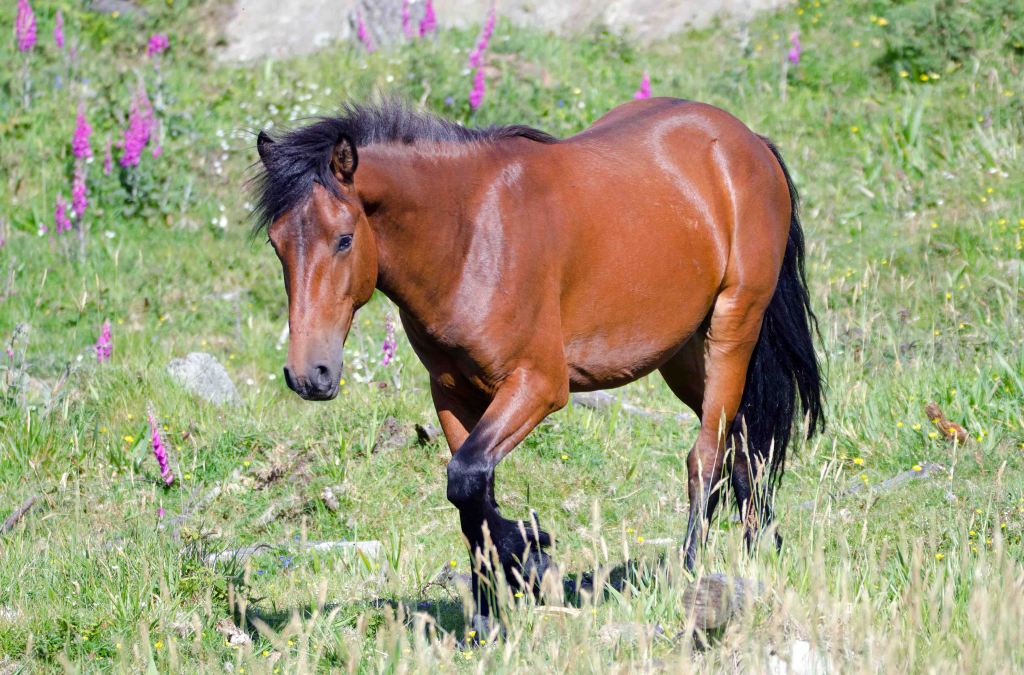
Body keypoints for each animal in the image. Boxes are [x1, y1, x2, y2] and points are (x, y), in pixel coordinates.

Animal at [252, 97, 824, 628]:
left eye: (344, 239)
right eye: (277, 245)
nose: (309, 375)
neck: (469, 235)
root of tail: (747, 141)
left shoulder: (539, 385)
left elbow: (466, 480)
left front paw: (531, 558)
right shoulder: (453, 393)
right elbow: (472, 494)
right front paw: (491, 609)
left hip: (733, 326)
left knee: (706, 455)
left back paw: (690, 569)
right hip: (684, 356)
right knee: (743, 443)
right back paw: (760, 549)